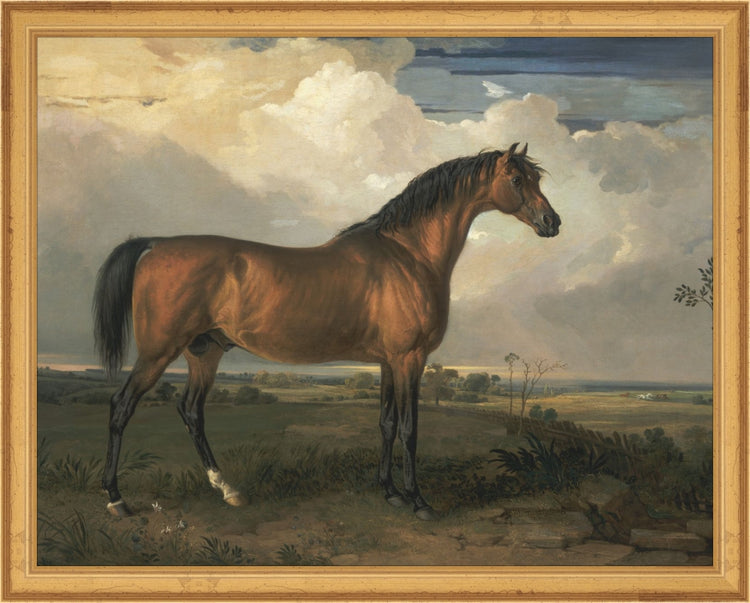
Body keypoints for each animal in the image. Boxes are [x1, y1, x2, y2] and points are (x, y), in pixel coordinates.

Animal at [93, 143, 560, 521]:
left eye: (537, 177)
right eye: (516, 179)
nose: (552, 222)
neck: (407, 255)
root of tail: (156, 244)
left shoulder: (388, 362)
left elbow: (386, 423)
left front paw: (390, 493)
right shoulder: (409, 359)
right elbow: (409, 430)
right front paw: (418, 502)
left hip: (203, 352)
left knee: (191, 412)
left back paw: (228, 490)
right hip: (158, 352)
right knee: (121, 407)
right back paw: (116, 500)